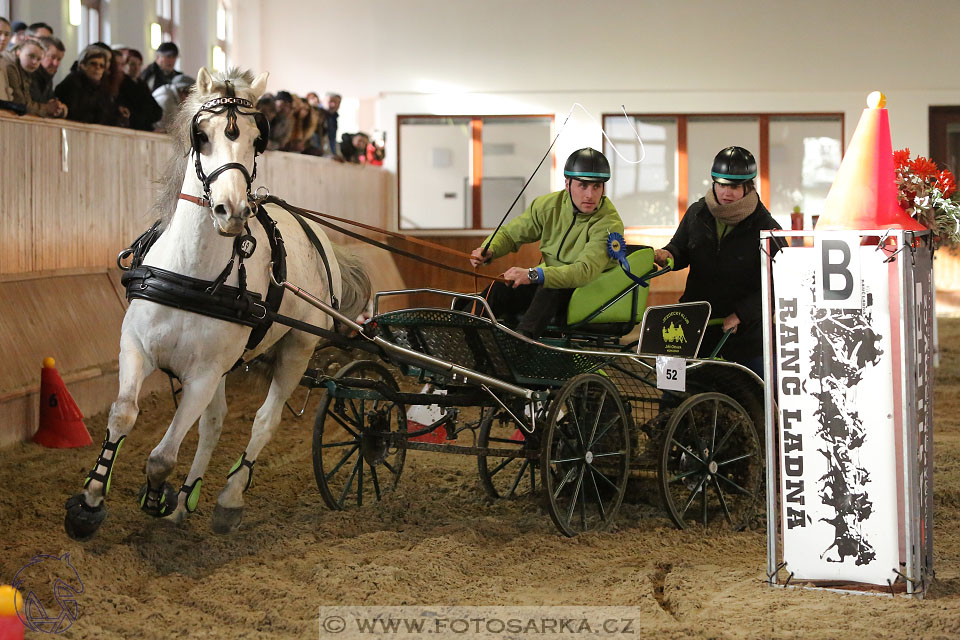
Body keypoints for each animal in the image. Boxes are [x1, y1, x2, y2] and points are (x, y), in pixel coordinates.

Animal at [64, 69, 372, 540]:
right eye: (201, 135)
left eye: (256, 139)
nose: (233, 211)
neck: (192, 275)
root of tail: (318, 236)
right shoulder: (136, 347)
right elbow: (123, 415)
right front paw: (90, 501)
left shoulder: (204, 374)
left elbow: (162, 456)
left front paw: (156, 496)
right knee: (215, 422)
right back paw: (185, 499)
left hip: (297, 349)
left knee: (264, 421)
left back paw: (228, 499)